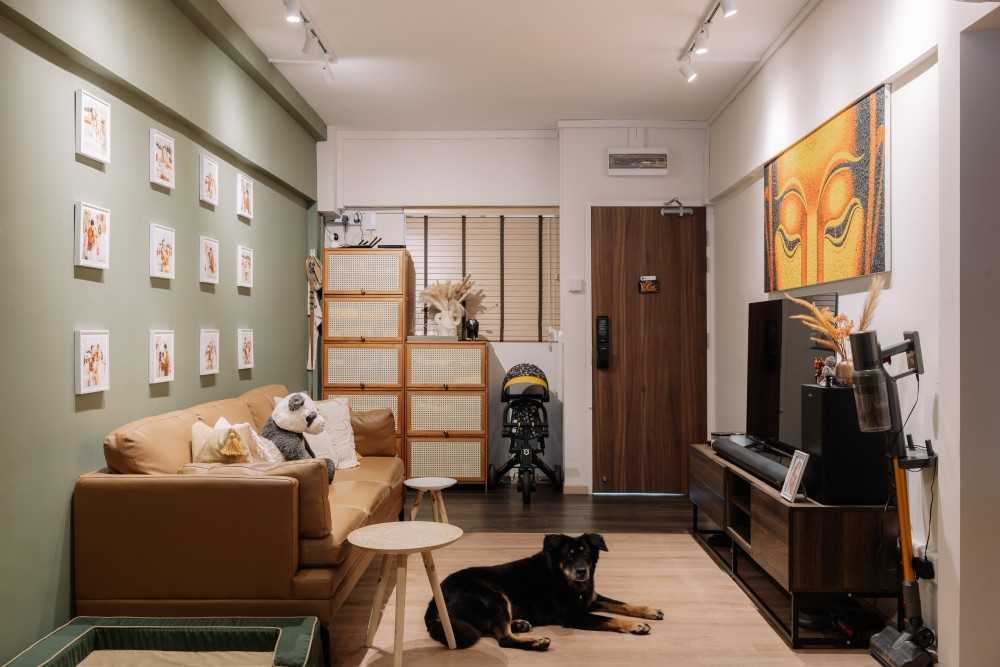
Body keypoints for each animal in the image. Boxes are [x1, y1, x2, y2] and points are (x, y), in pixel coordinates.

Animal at [424, 532, 664, 652]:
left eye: (586, 554)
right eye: (568, 556)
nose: (581, 571)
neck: (566, 579)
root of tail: (434, 602)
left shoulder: (591, 598)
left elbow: (622, 604)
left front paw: (649, 611)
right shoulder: (573, 616)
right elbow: (610, 618)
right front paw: (636, 625)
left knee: (493, 629)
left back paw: (520, 624)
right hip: (495, 596)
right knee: (503, 638)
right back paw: (536, 642)